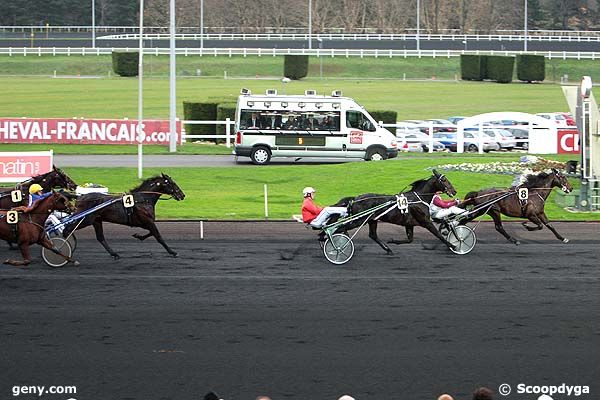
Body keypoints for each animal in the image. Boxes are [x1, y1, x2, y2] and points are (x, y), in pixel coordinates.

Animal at [332, 170, 460, 255]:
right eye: (444, 180)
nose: (454, 191)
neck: (419, 198)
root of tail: (355, 199)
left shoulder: (409, 224)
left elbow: (410, 239)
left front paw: (393, 241)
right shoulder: (425, 221)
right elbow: (439, 235)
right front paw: (454, 245)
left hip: (372, 220)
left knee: (372, 235)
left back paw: (388, 249)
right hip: (359, 220)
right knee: (340, 228)